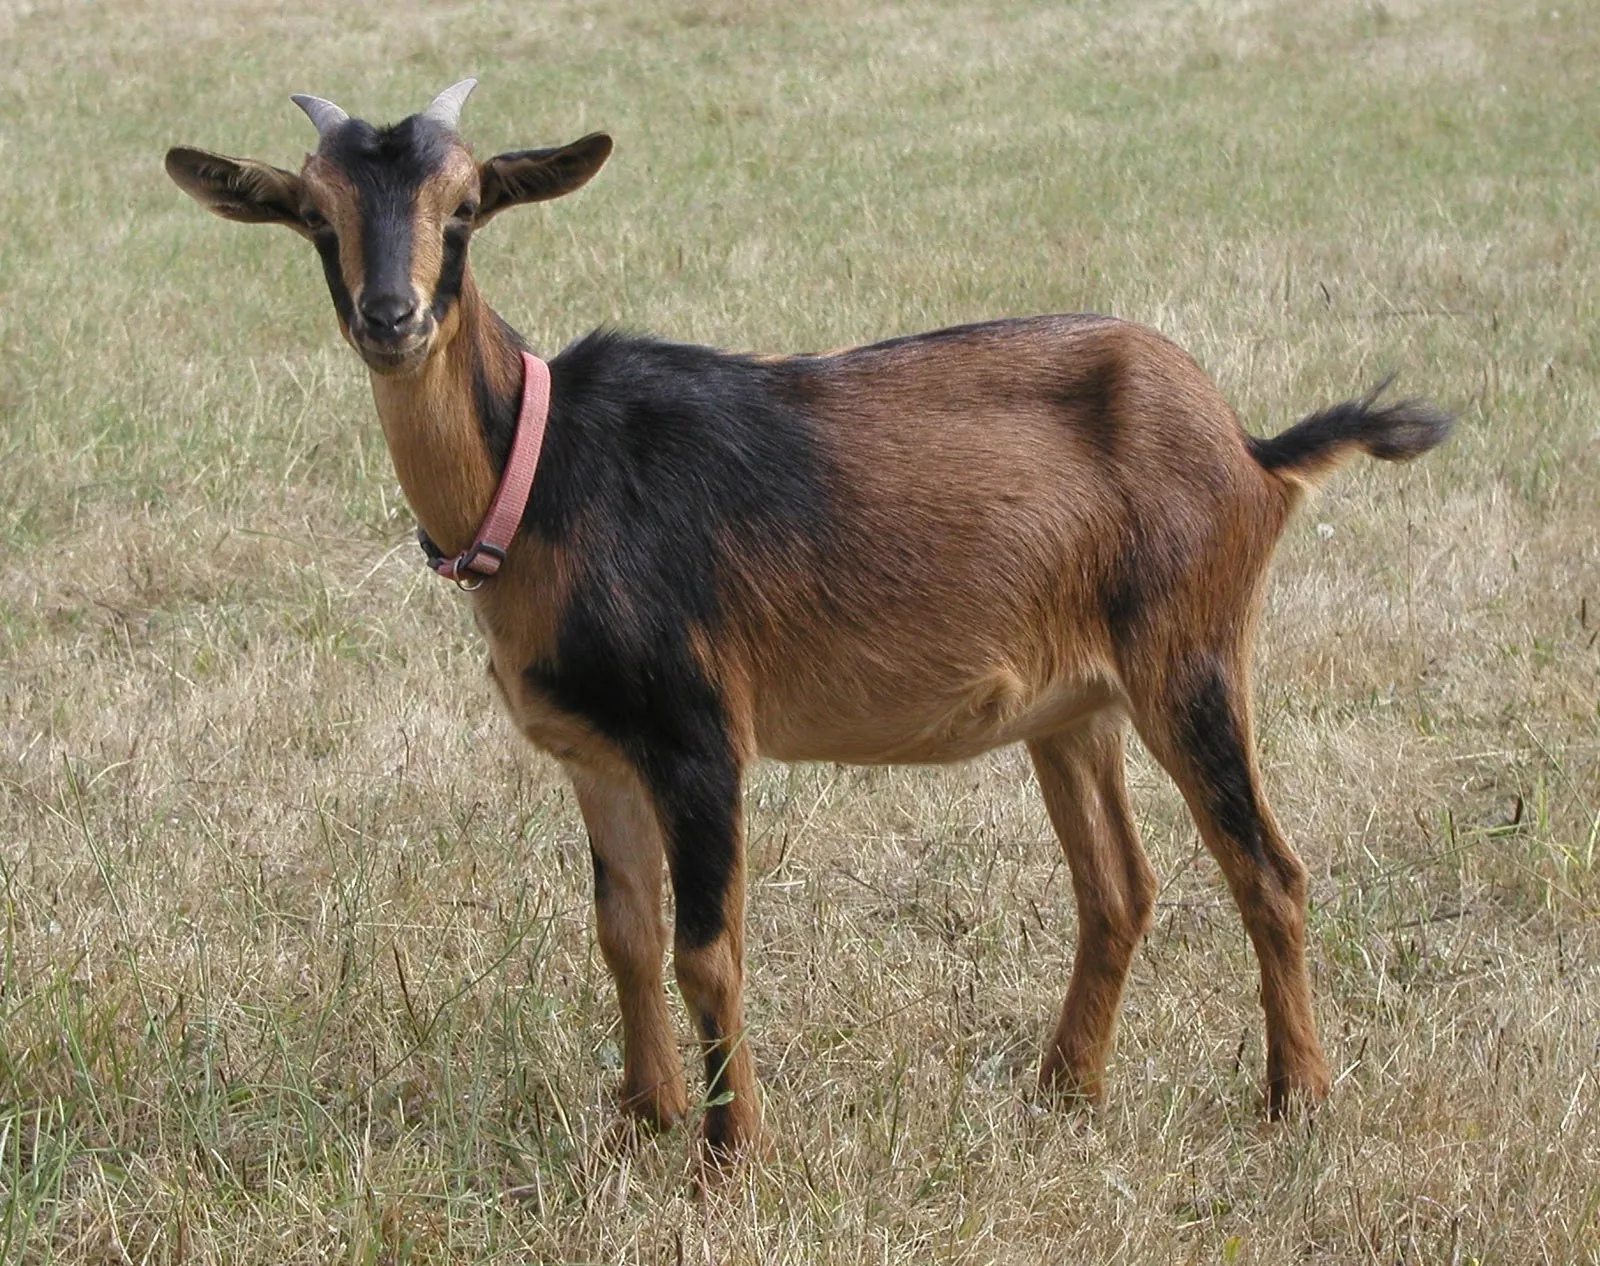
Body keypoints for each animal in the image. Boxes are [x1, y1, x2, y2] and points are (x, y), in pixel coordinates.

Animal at [168, 81, 1459, 1158]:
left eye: (469, 204)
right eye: (315, 213)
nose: (391, 317)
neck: (543, 477)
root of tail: (1249, 447)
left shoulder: (697, 734)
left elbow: (706, 948)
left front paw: (729, 1155)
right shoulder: (596, 752)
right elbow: (623, 931)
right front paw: (644, 1120)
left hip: (1189, 657)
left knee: (1267, 869)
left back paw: (1296, 1100)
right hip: (1073, 703)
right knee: (1118, 888)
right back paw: (1062, 1089)